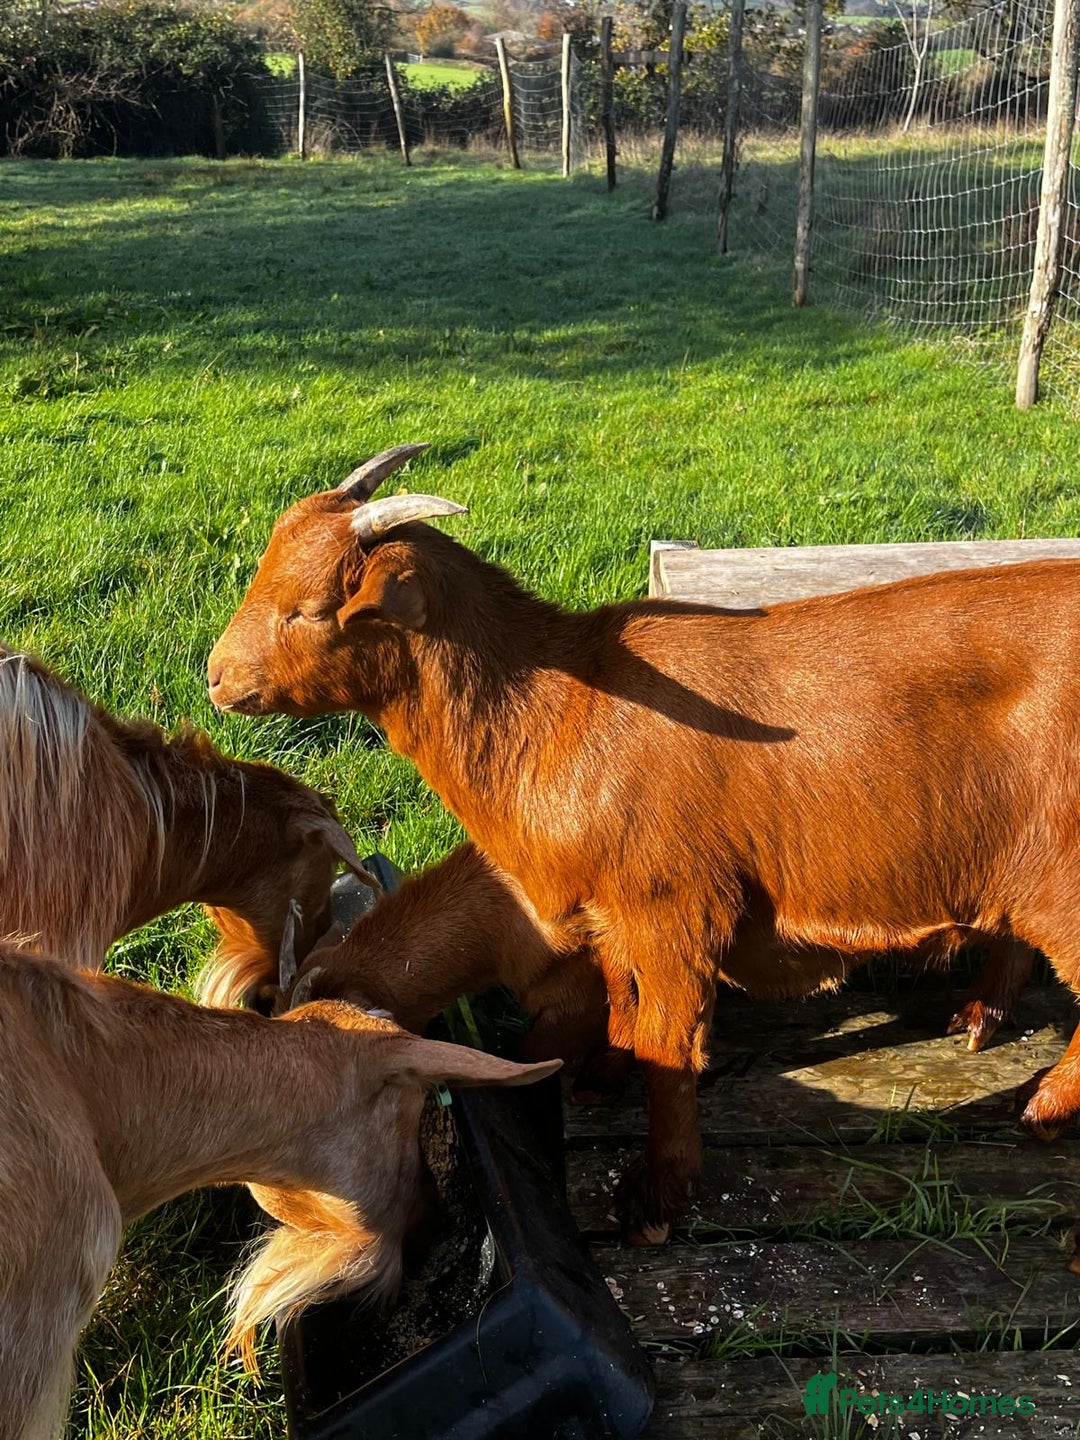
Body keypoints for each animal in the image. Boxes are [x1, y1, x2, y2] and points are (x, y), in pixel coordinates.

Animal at [209, 445, 1080, 1243]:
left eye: (309, 609)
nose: (214, 677)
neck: (561, 710)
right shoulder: (614, 916)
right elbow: (624, 1010)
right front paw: (603, 1076)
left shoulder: (672, 910)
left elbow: (671, 1048)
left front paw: (655, 1195)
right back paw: (982, 1014)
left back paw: (1042, 1107)